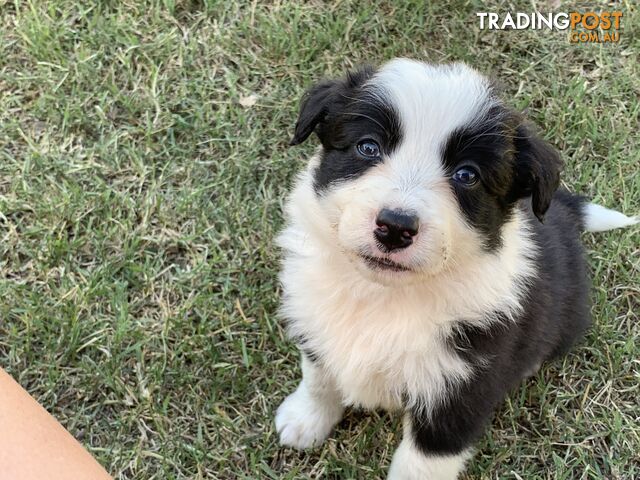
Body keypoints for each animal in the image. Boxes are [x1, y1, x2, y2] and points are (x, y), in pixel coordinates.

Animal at [272, 60, 636, 480]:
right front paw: (305, 420)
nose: (395, 227)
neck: (385, 296)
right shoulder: (316, 320)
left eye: (467, 174)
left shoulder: (463, 383)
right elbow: (318, 376)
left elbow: (422, 462)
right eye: (367, 147)